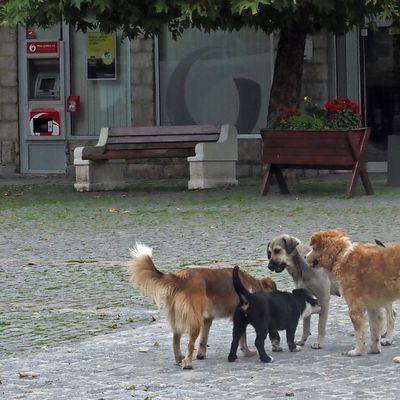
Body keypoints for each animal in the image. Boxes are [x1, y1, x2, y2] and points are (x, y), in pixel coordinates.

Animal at [130, 242, 276, 370]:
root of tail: (180, 278)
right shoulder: (238, 319)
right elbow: (242, 338)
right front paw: (247, 352)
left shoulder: (208, 319)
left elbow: (204, 339)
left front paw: (201, 355)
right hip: (195, 321)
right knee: (190, 344)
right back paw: (187, 364)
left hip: (179, 319)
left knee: (175, 340)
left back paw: (179, 359)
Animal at [268, 234, 396, 350]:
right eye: (269, 252)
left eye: (278, 250)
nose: (269, 266)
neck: (301, 266)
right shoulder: (305, 297)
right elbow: (306, 324)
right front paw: (302, 340)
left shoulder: (323, 298)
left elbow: (320, 325)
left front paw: (318, 343)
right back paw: (383, 334)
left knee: (390, 316)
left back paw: (388, 339)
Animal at [304, 230, 398, 358]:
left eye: (313, 248)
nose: (304, 256)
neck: (341, 256)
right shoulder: (372, 308)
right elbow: (374, 331)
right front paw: (374, 350)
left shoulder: (355, 307)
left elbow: (359, 333)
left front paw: (357, 351)